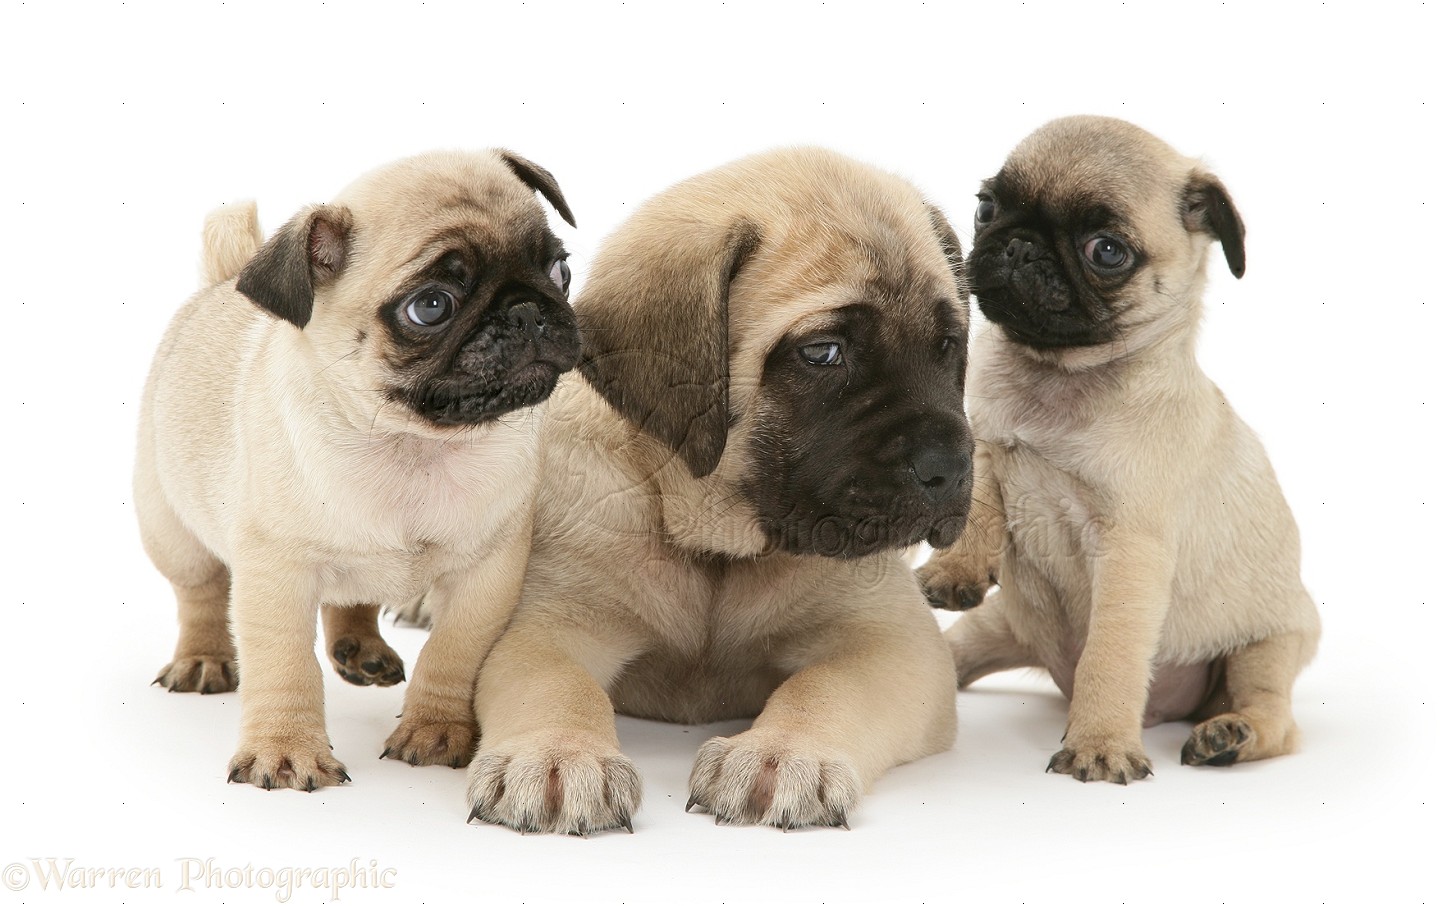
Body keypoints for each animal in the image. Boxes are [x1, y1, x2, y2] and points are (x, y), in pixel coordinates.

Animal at [134, 151, 575, 787]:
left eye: (560, 271)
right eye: (431, 306)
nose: (527, 311)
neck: (410, 445)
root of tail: (221, 280)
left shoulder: (486, 577)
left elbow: (453, 653)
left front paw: (436, 729)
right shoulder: (277, 573)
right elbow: (285, 666)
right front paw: (285, 750)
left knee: (352, 597)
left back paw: (360, 650)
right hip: (169, 524)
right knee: (199, 591)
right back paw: (203, 657)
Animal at [463, 148, 972, 833]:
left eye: (947, 346)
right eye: (824, 353)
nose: (952, 468)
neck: (716, 551)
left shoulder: (893, 643)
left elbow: (824, 688)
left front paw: (784, 754)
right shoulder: (550, 626)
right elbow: (555, 685)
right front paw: (557, 756)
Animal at [914, 116, 1325, 781]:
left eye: (1107, 251)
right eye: (985, 208)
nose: (1020, 245)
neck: (1057, 376)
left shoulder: (1129, 551)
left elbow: (1109, 654)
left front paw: (1100, 742)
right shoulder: (986, 450)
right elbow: (975, 507)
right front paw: (954, 568)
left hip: (1268, 648)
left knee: (1276, 716)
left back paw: (1230, 735)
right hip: (999, 625)